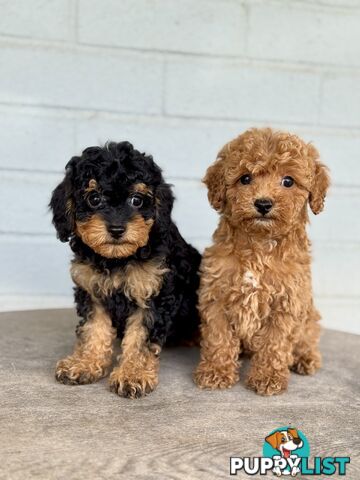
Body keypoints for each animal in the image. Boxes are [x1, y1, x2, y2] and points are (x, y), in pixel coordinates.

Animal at [49, 142, 201, 398]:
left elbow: (140, 339)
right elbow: (93, 329)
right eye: (94, 198)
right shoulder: (92, 291)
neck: (117, 259)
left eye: (136, 200)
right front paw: (84, 364)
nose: (117, 229)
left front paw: (132, 375)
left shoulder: (153, 294)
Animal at [194, 127, 330, 394]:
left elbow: (274, 344)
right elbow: (218, 337)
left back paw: (306, 358)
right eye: (245, 178)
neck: (259, 244)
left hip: (309, 316)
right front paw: (216, 371)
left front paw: (268, 377)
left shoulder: (286, 303)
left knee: (308, 336)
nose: (263, 203)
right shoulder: (216, 295)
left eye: (288, 181)